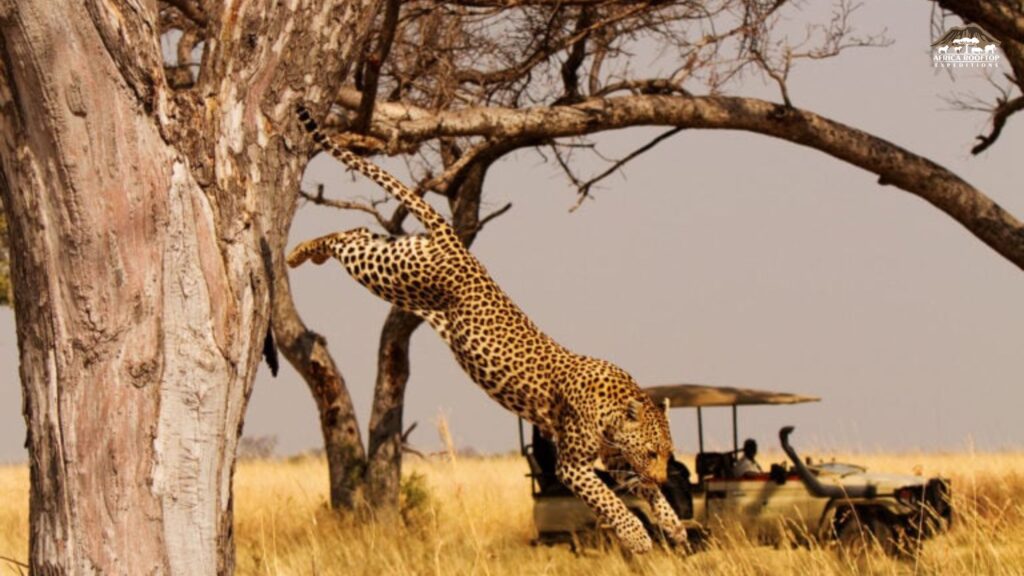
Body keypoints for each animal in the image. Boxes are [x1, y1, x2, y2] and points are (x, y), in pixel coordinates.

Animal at [288, 104, 688, 553]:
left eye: (667, 452)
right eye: (652, 452)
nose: (664, 474)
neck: (614, 410)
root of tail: (455, 242)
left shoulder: (616, 460)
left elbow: (642, 492)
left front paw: (673, 523)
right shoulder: (572, 465)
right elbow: (611, 502)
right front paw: (638, 537)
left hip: (397, 258)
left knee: (357, 232)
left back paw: (304, 252)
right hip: (395, 275)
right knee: (347, 239)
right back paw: (298, 253)